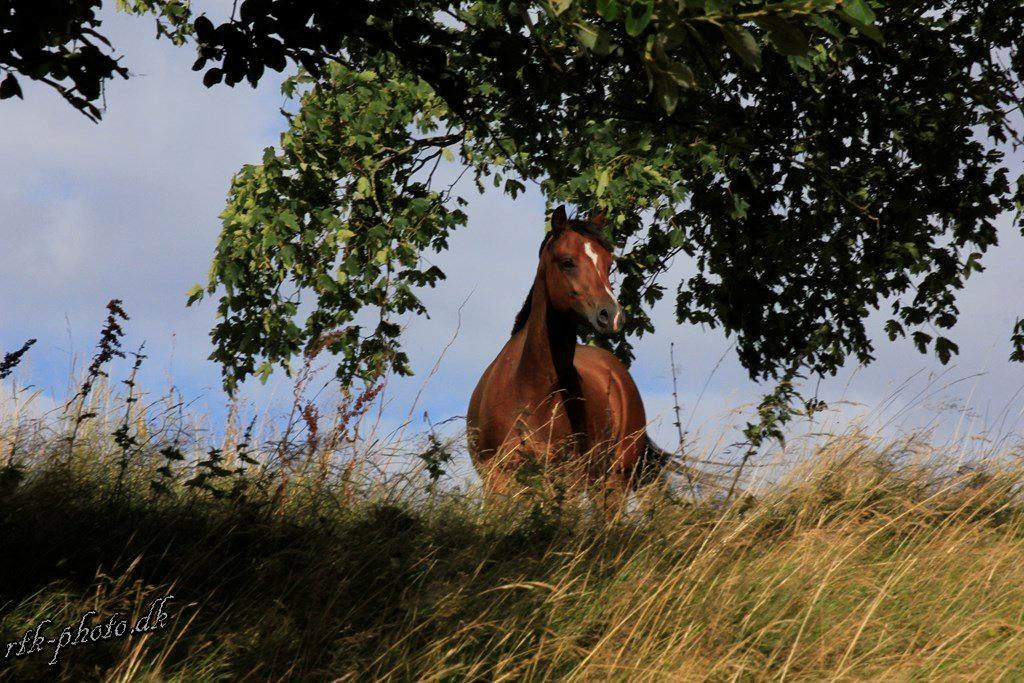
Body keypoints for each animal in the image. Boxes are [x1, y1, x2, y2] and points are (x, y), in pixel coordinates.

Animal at [466, 206, 674, 513]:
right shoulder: (497, 479)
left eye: (608, 264)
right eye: (567, 262)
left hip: (613, 480)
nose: (611, 316)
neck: (529, 388)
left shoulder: (564, 480)